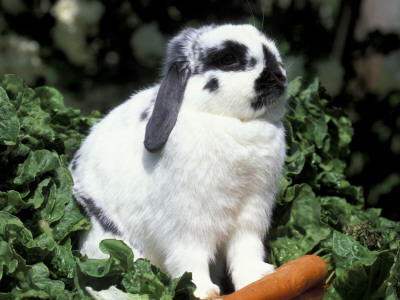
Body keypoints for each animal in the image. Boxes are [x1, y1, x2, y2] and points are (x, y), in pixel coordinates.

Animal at [69, 23, 288, 298]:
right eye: (229, 59)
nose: (281, 76)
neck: (233, 121)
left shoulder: (250, 216)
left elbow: (245, 250)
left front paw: (258, 279)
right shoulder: (189, 224)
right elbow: (190, 258)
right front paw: (204, 292)